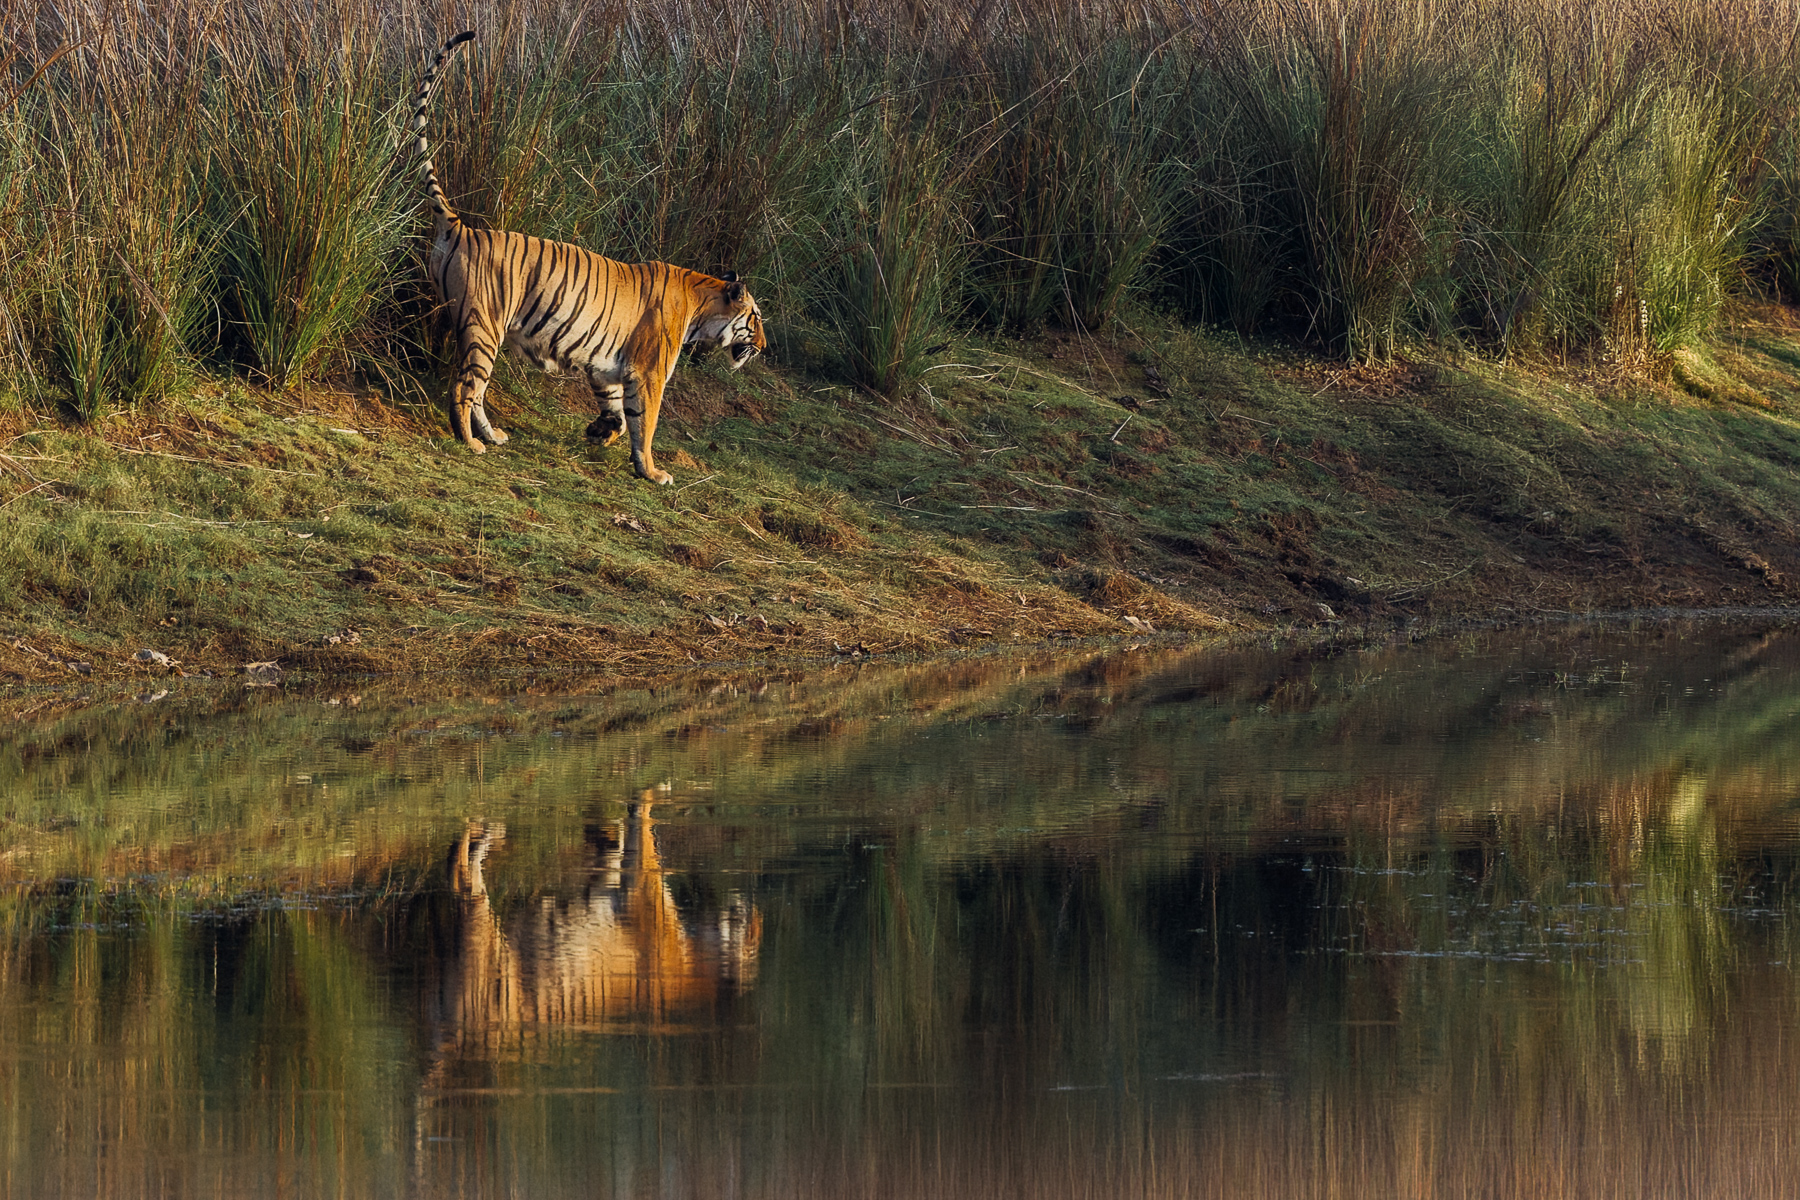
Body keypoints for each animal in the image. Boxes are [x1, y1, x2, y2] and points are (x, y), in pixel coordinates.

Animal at [411, 31, 765, 485]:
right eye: (756, 319)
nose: (764, 347)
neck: (701, 304)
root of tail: (461, 227)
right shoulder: (649, 374)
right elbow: (646, 424)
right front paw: (653, 472)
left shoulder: (608, 370)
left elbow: (619, 415)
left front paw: (600, 432)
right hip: (483, 327)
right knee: (464, 388)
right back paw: (471, 443)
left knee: (477, 391)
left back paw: (493, 436)